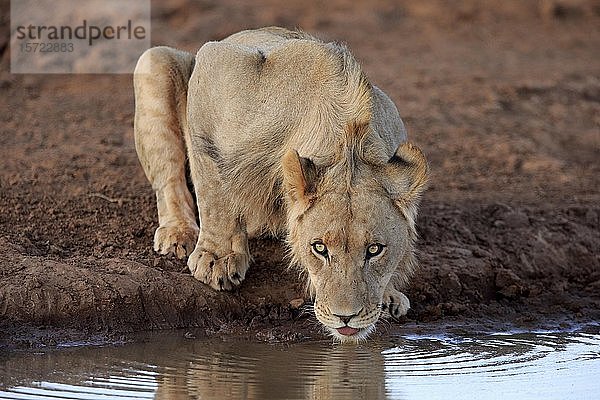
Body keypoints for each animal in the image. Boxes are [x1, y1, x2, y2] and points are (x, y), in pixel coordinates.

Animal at [134, 27, 428, 340]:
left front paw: (389, 294)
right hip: (156, 62)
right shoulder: (214, 68)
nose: (345, 318)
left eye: (374, 250)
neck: (346, 138)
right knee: (170, 178)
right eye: (319, 248)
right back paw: (178, 233)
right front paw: (216, 260)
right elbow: (213, 192)